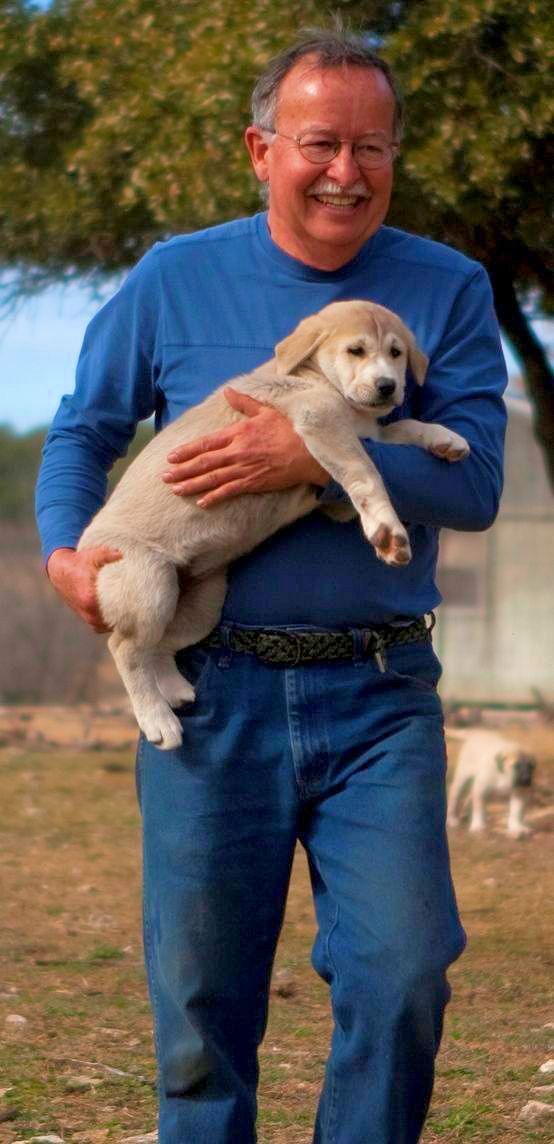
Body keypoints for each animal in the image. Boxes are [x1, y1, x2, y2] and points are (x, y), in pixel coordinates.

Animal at [77, 302, 469, 750]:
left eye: (396, 353)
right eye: (356, 350)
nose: (388, 386)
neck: (320, 381)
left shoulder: (343, 474)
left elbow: (396, 432)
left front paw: (443, 438)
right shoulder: (320, 422)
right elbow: (367, 472)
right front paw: (388, 532)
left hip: (201, 605)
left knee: (157, 645)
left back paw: (173, 689)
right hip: (149, 586)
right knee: (125, 648)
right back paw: (157, 719)